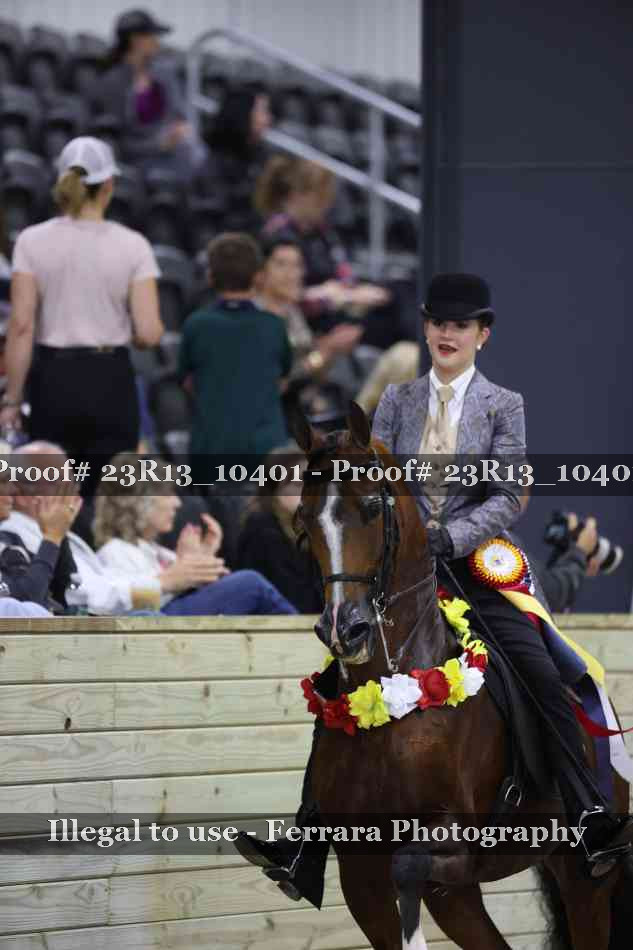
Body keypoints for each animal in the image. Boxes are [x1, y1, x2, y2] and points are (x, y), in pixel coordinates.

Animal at [291, 403, 633, 950]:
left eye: (372, 508)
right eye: (304, 518)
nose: (345, 628)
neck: (393, 706)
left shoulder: (452, 845)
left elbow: (407, 867)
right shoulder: (359, 874)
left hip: (585, 879)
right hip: (472, 894)